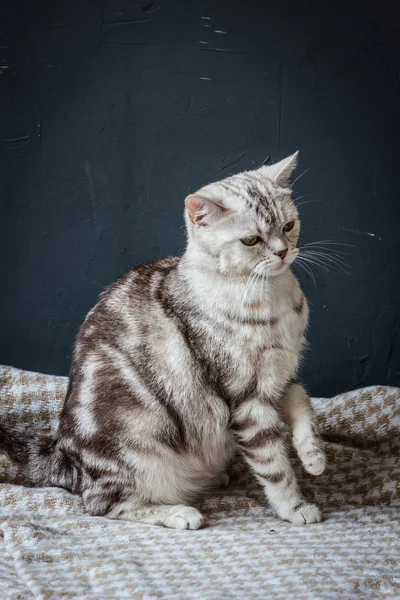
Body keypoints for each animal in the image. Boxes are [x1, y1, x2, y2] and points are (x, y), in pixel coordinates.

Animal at [0, 151, 324, 528]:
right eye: (250, 241)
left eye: (288, 226)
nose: (283, 252)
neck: (273, 301)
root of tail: (64, 457)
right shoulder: (247, 397)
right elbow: (274, 465)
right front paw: (295, 507)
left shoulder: (284, 376)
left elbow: (303, 409)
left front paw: (313, 455)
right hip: (138, 448)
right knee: (103, 505)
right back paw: (179, 512)